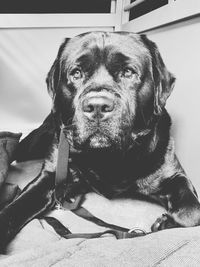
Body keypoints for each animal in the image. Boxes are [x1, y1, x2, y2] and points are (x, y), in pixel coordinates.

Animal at [0, 31, 200, 251]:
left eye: (128, 72)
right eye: (76, 73)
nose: (97, 106)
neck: (107, 158)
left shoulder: (174, 175)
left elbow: (192, 212)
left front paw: (165, 222)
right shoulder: (51, 175)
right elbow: (16, 208)